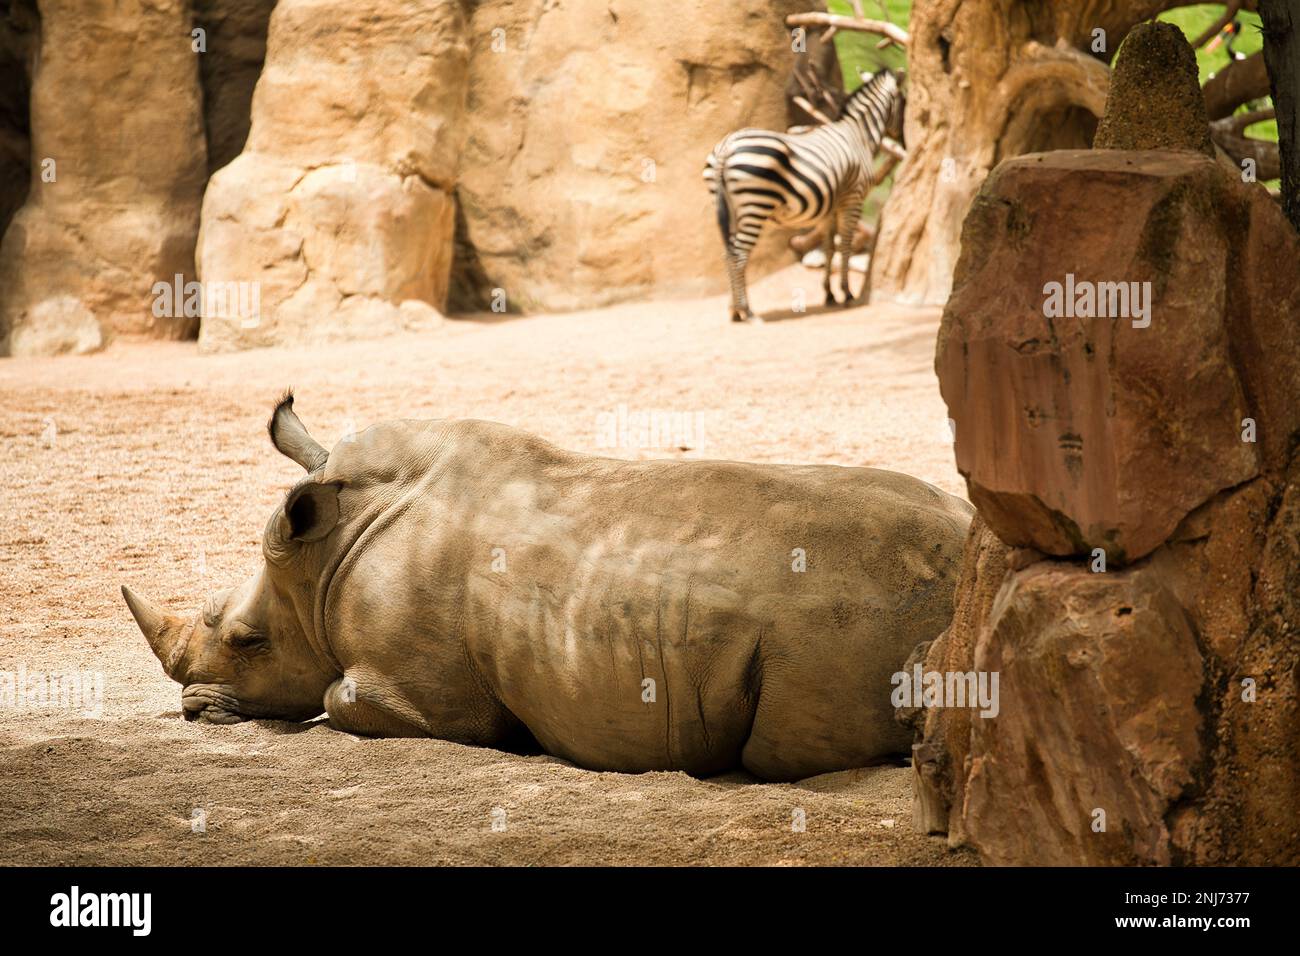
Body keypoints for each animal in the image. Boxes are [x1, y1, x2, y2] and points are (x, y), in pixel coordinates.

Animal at [704, 69, 905, 323]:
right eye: (904, 102)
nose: (904, 139)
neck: (858, 135)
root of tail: (727, 147)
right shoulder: (853, 197)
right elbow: (845, 246)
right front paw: (847, 293)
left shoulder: (831, 206)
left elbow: (829, 248)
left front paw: (830, 294)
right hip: (755, 203)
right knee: (738, 254)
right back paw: (747, 311)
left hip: (728, 205)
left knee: (727, 253)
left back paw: (734, 310)